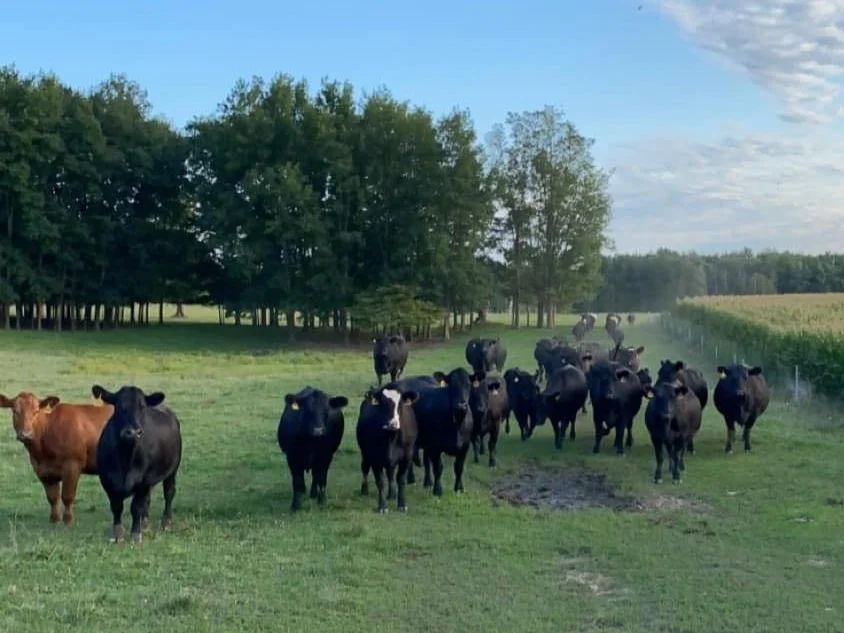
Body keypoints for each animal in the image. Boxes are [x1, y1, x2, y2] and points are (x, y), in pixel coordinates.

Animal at [0, 392, 113, 525]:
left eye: (36, 411)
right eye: (15, 411)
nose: (25, 434)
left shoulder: (72, 466)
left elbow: (67, 496)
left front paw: (68, 520)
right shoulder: (43, 470)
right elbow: (52, 497)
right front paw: (54, 519)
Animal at [92, 385, 182, 544]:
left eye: (143, 407)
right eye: (119, 407)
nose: (133, 432)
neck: (125, 459)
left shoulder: (144, 481)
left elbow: (136, 507)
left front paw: (135, 534)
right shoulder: (107, 480)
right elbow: (116, 507)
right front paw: (118, 535)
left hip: (172, 470)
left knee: (169, 493)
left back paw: (166, 523)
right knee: (148, 500)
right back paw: (145, 525)